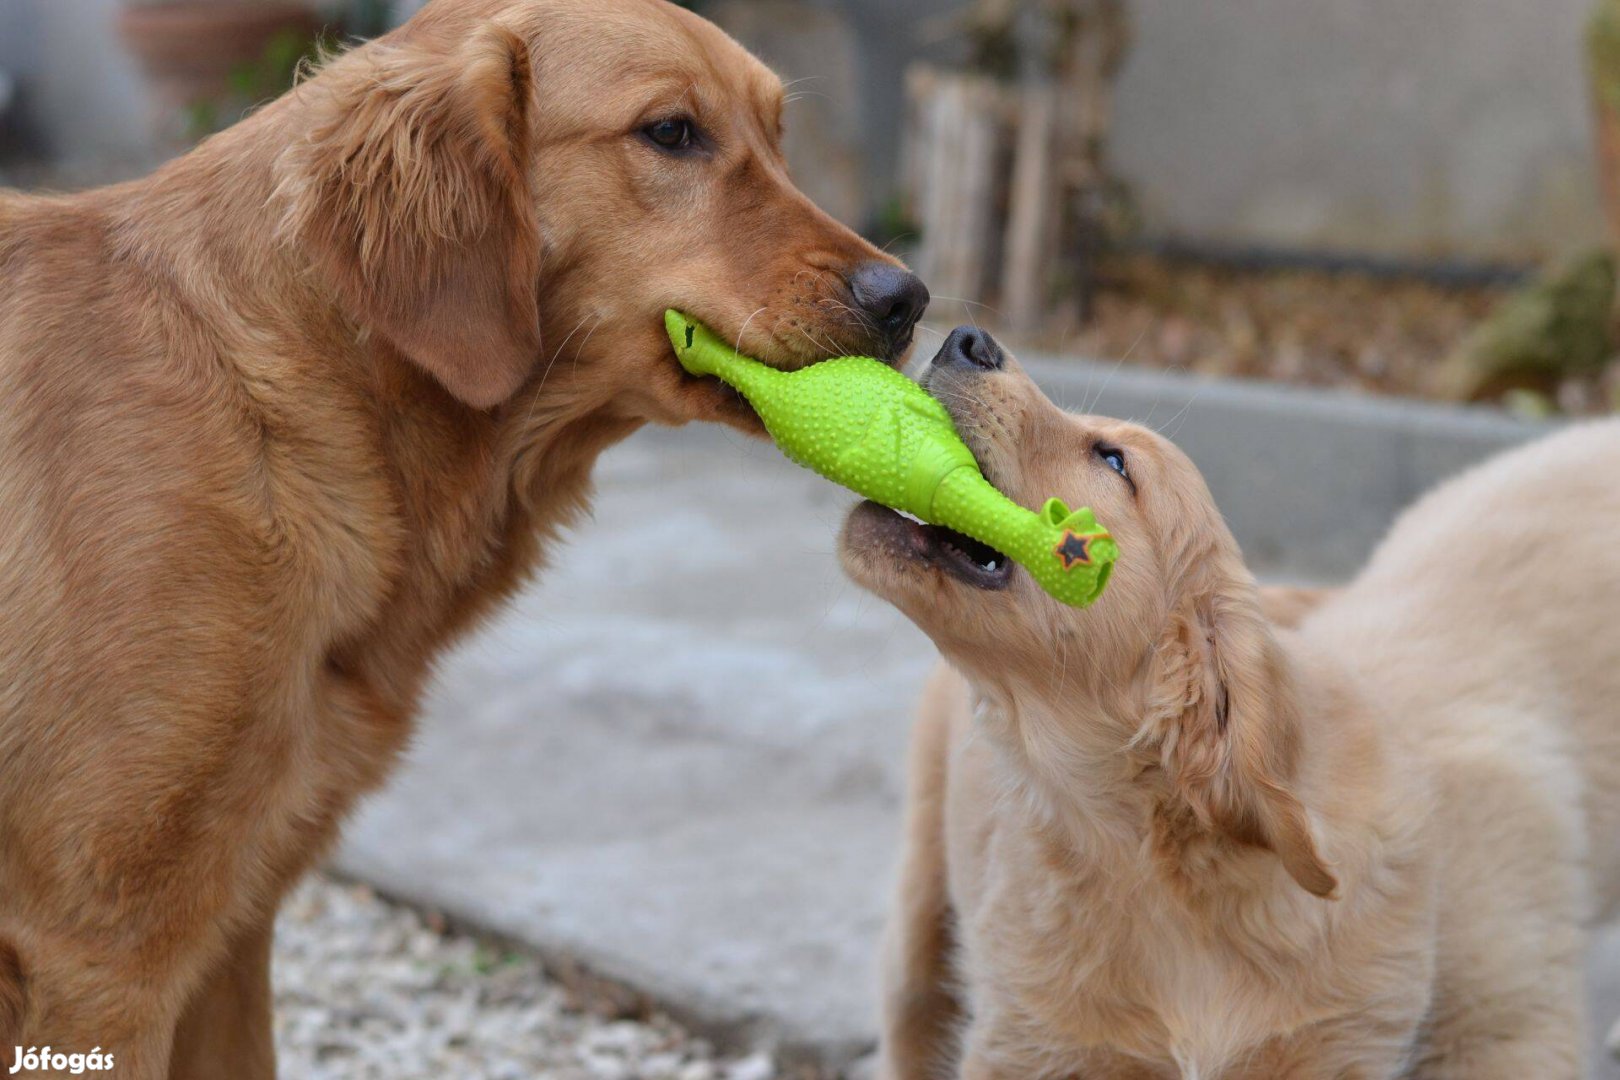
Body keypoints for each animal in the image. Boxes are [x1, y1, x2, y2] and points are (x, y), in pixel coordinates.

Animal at [0, 0, 926, 1075]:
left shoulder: (231, 929)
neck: (288, 402)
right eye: (672, 132)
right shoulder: (104, 957)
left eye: (779, 136)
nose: (907, 300)